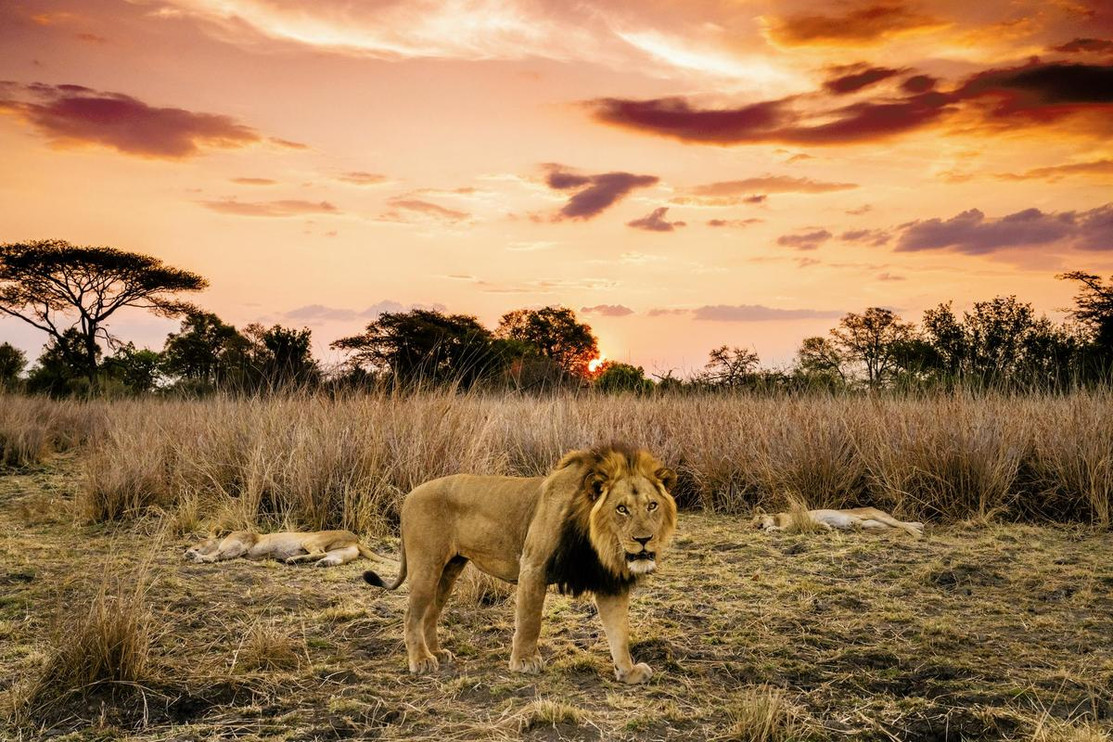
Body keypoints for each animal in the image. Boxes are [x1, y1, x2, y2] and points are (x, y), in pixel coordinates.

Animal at [362, 444, 678, 683]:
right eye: (621, 509)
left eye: (652, 506)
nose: (644, 540)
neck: (597, 543)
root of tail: (409, 496)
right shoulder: (533, 566)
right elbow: (529, 620)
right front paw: (524, 662)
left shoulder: (608, 581)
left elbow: (619, 632)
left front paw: (628, 671)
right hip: (427, 567)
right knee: (411, 616)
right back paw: (421, 660)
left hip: (449, 569)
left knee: (430, 614)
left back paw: (437, 654)